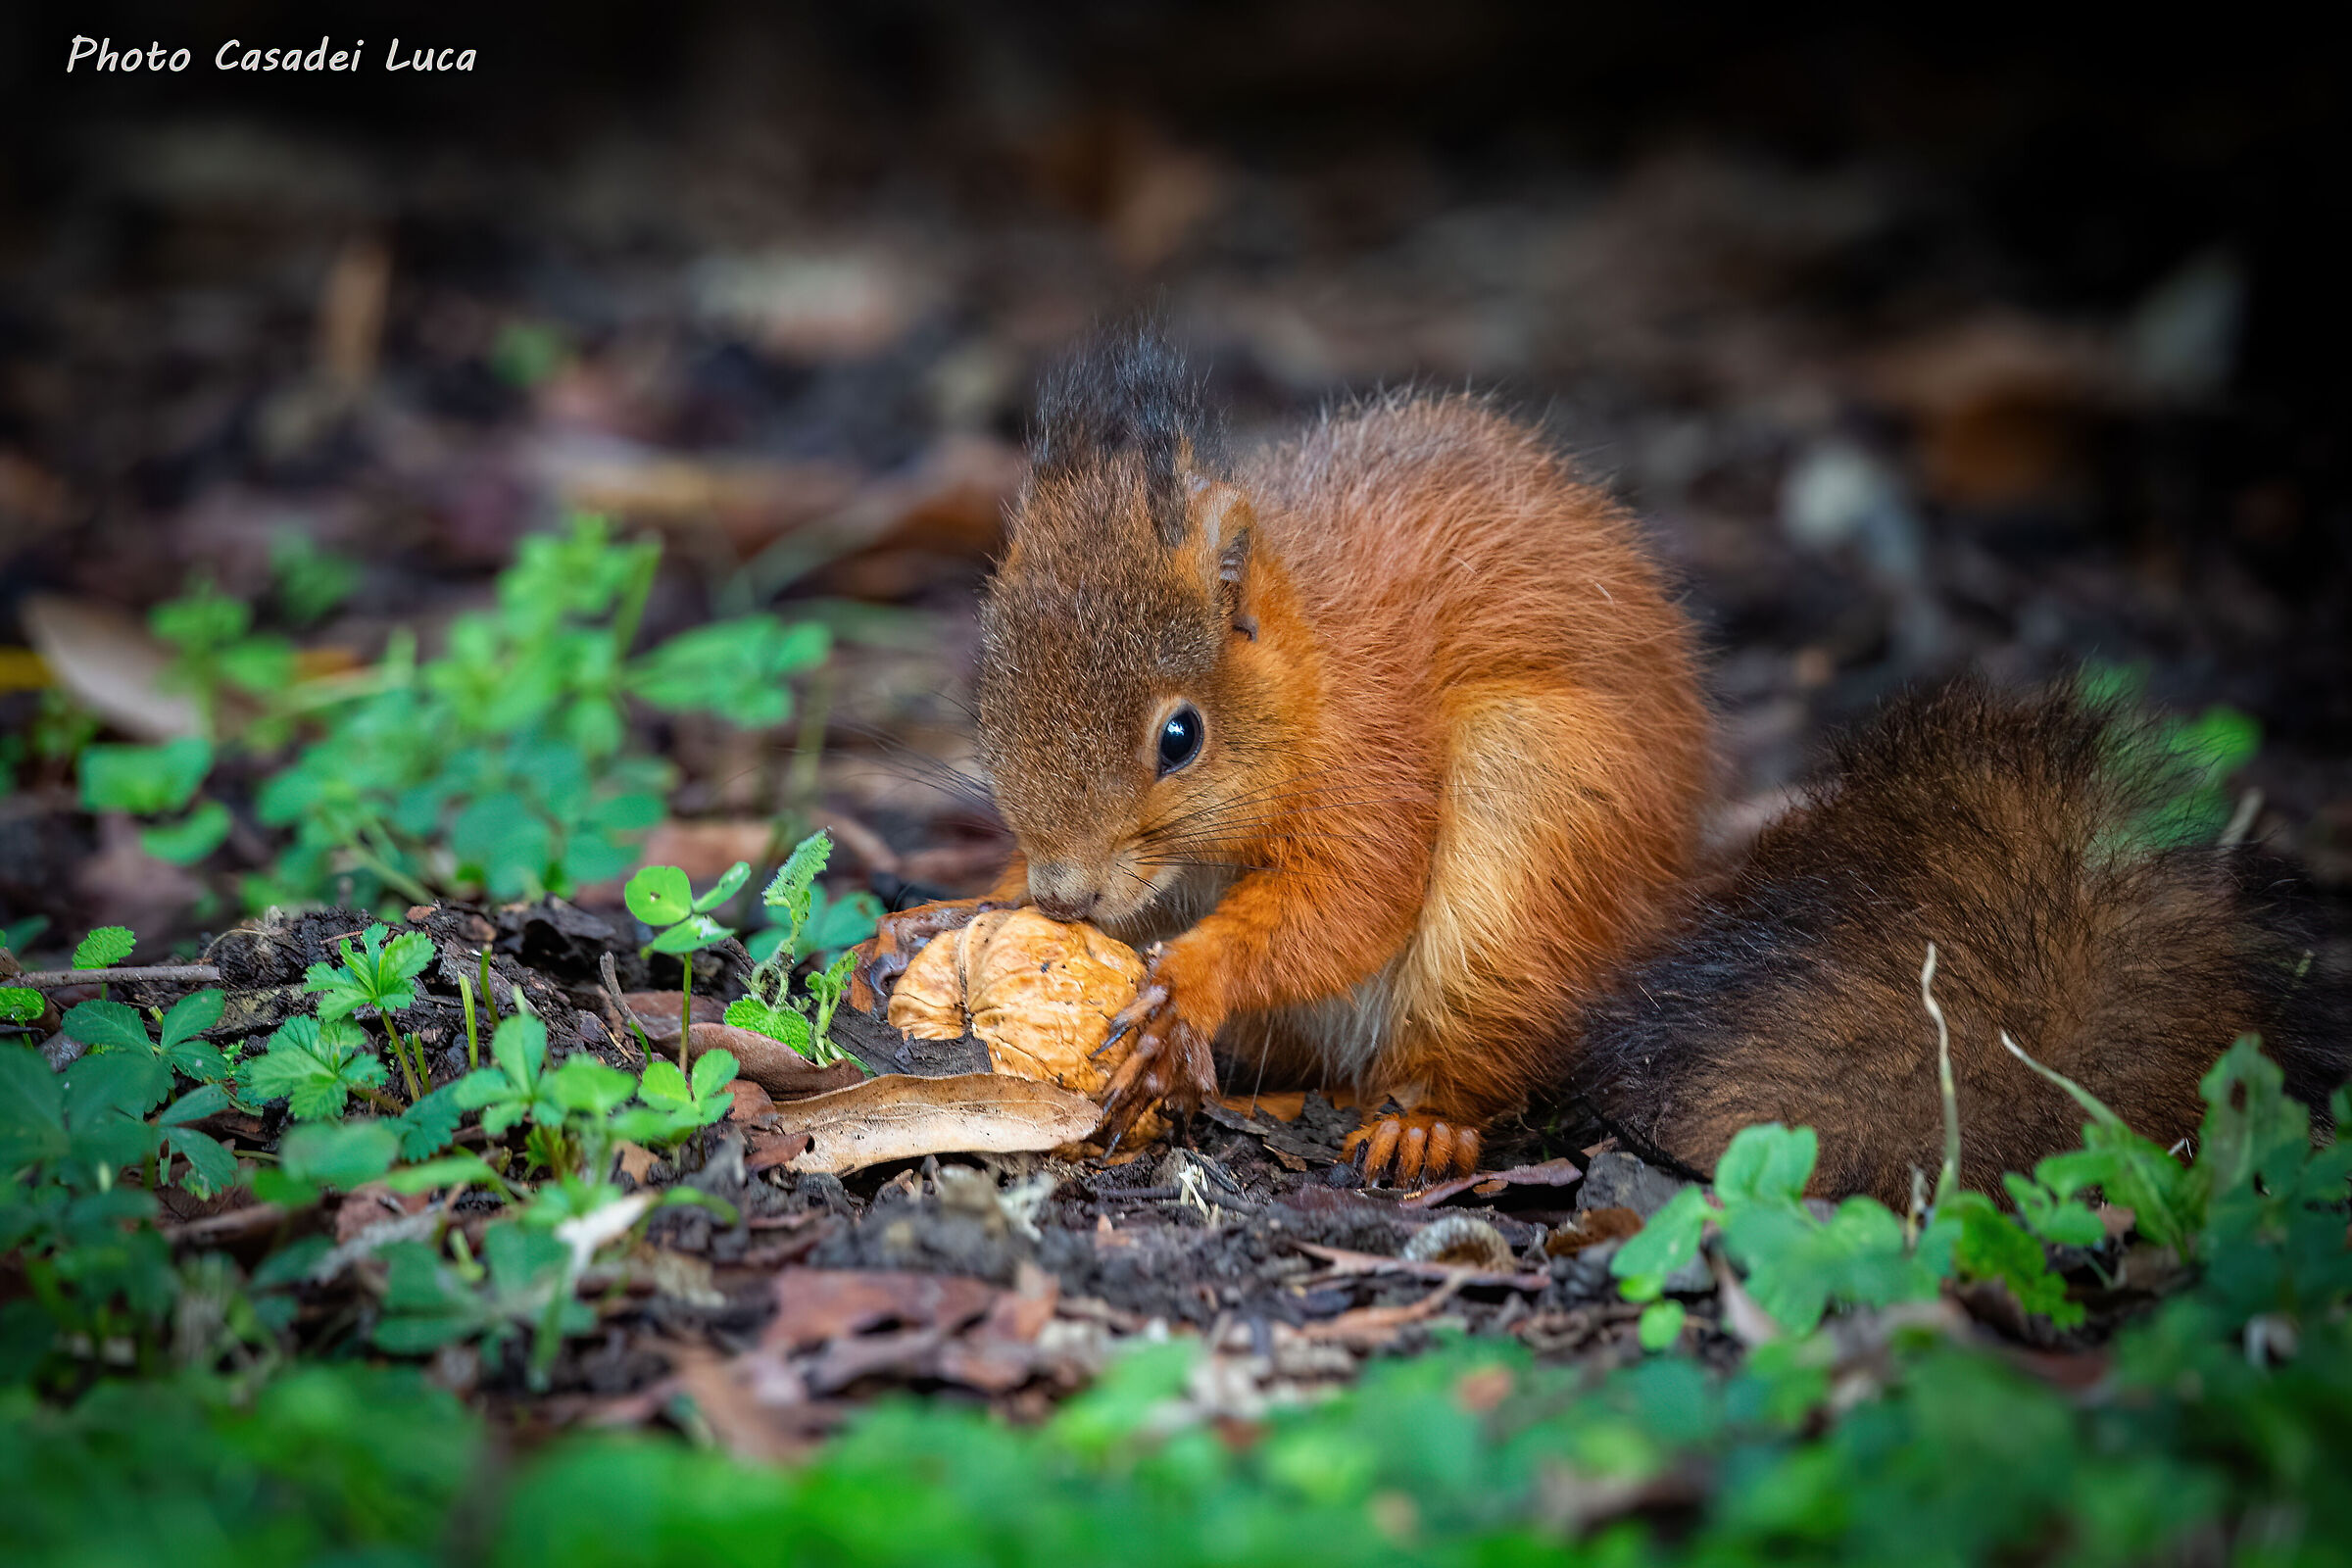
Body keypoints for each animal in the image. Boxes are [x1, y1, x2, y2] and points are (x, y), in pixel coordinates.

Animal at [855, 325, 2347, 1198]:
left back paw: (1418, 1121)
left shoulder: (1382, 757)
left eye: (1182, 735)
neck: (1316, 671)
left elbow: (1351, 899)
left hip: (1531, 825)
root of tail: (1662, 902)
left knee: (1469, 1048)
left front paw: (1194, 979)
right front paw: (953, 908)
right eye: (989, 692)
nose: (1063, 893)